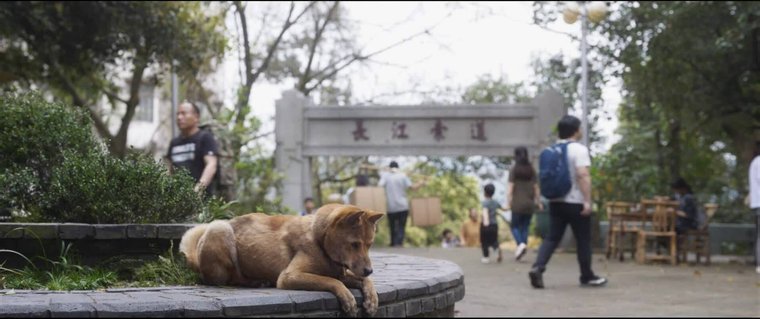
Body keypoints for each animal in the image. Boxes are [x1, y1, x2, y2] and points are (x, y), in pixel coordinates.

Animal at [180, 205, 386, 318]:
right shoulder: (289, 276)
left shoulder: (340, 272)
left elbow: (362, 281)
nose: (369, 270)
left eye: (369, 245)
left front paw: (372, 299)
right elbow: (331, 281)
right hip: (220, 229)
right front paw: (348, 299)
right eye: (354, 244)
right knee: (229, 279)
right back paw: (256, 282)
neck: (319, 238)